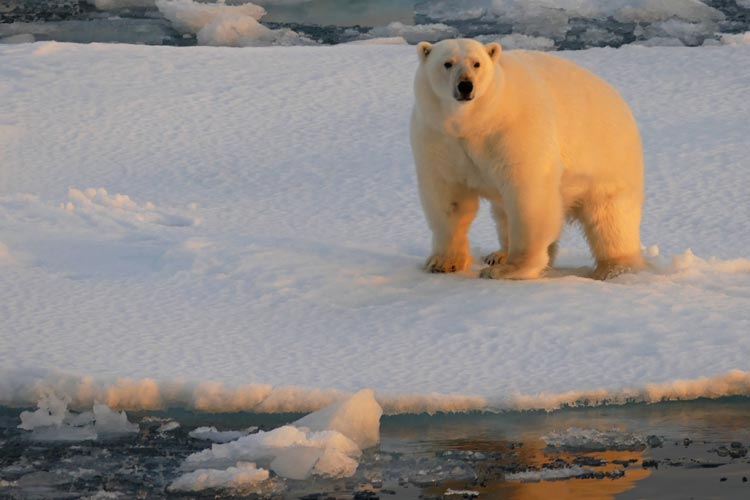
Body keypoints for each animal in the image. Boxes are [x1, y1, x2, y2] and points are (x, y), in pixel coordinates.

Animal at [412, 38, 648, 282]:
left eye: (477, 63)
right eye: (447, 63)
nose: (465, 86)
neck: (476, 122)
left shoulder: (514, 129)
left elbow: (528, 194)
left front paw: (510, 270)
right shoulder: (440, 137)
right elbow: (450, 199)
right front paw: (442, 262)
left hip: (607, 161)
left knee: (610, 218)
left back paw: (615, 268)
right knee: (502, 212)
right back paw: (498, 255)